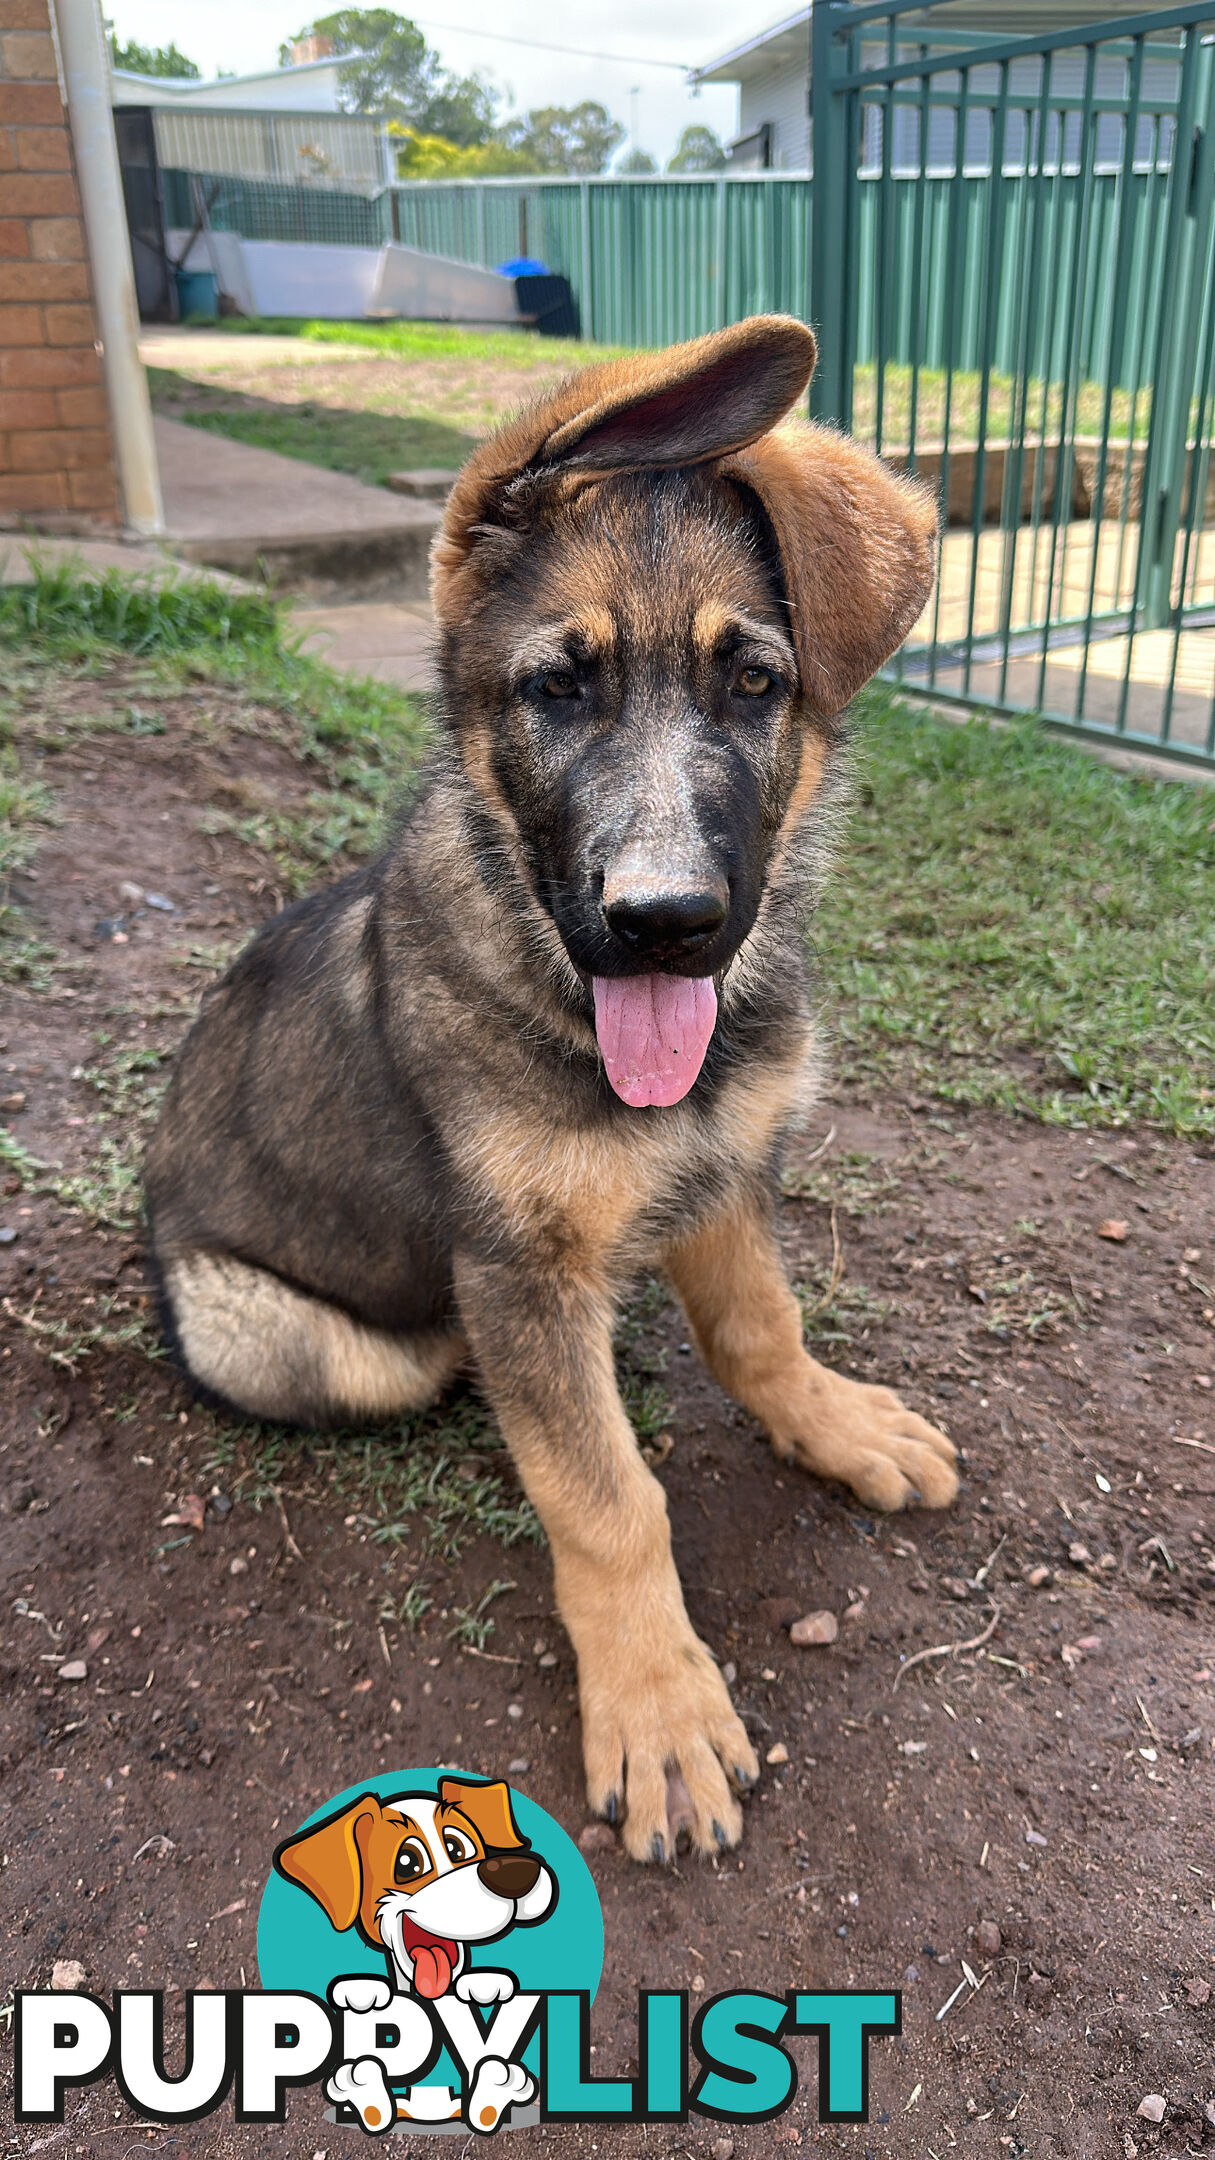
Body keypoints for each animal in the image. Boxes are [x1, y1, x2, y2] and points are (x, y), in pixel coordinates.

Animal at [143, 313, 955, 1866]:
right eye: (556, 687)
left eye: (753, 682)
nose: (664, 922)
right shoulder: (517, 1267)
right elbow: (605, 1496)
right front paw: (656, 1706)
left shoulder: (728, 1173)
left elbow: (762, 1329)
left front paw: (828, 1422)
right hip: (294, 1334)